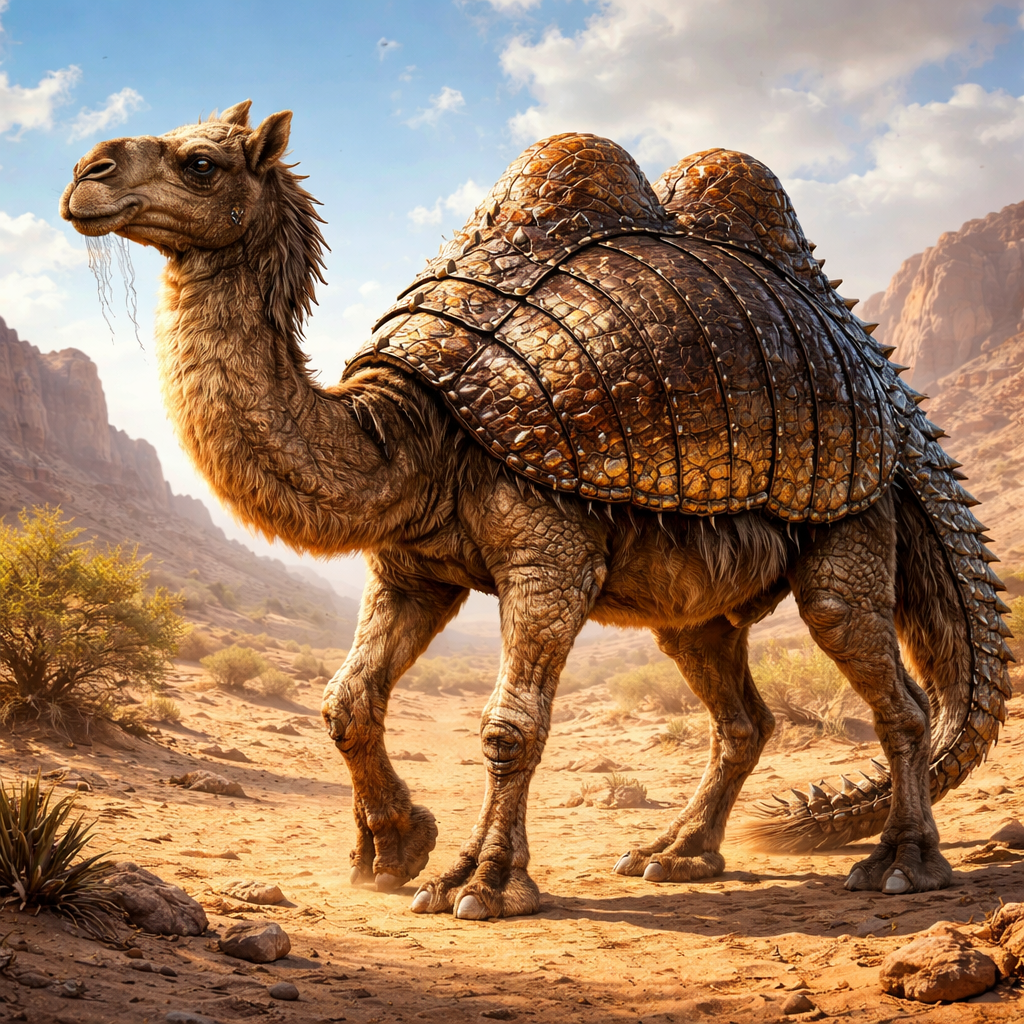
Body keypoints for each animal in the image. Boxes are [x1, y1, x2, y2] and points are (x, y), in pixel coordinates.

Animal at [61, 102, 1012, 921]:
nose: (83, 174)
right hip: (700, 596)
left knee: (875, 665)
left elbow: (508, 727)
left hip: (852, 491)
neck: (406, 430)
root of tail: (891, 390)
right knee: (738, 708)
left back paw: (901, 866)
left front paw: (477, 885)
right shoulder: (413, 564)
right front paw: (393, 852)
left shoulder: (547, 549)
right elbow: (346, 700)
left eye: (202, 162)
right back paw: (674, 855)